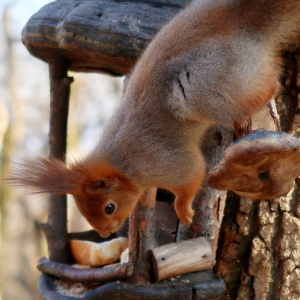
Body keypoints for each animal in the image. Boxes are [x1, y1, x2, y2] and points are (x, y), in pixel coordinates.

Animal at [8, 0, 300, 237]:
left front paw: (183, 212)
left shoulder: (165, 163)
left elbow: (193, 177)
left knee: (268, 86)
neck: (123, 164)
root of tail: (239, 20)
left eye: (109, 207)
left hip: (207, 86)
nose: (104, 234)